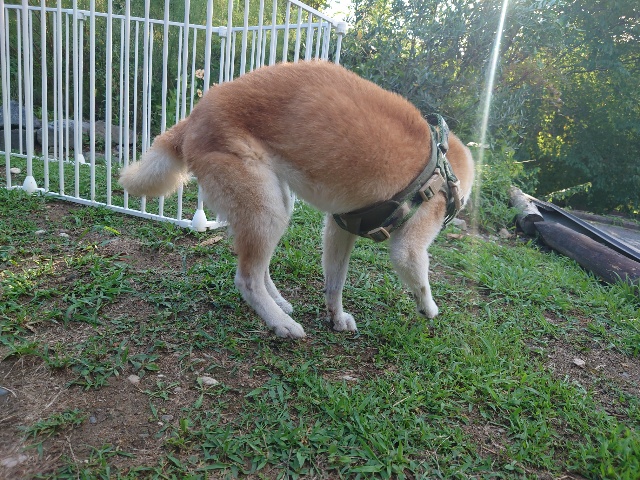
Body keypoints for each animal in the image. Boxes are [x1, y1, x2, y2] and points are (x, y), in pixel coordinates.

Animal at [119, 61, 474, 338]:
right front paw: (429, 308)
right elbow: (417, 274)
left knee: (259, 267)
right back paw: (279, 322)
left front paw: (335, 316)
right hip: (266, 208)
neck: (443, 162)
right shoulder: (408, 246)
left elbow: (335, 282)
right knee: (246, 278)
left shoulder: (340, 227)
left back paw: (278, 303)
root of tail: (193, 116)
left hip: (276, 204)